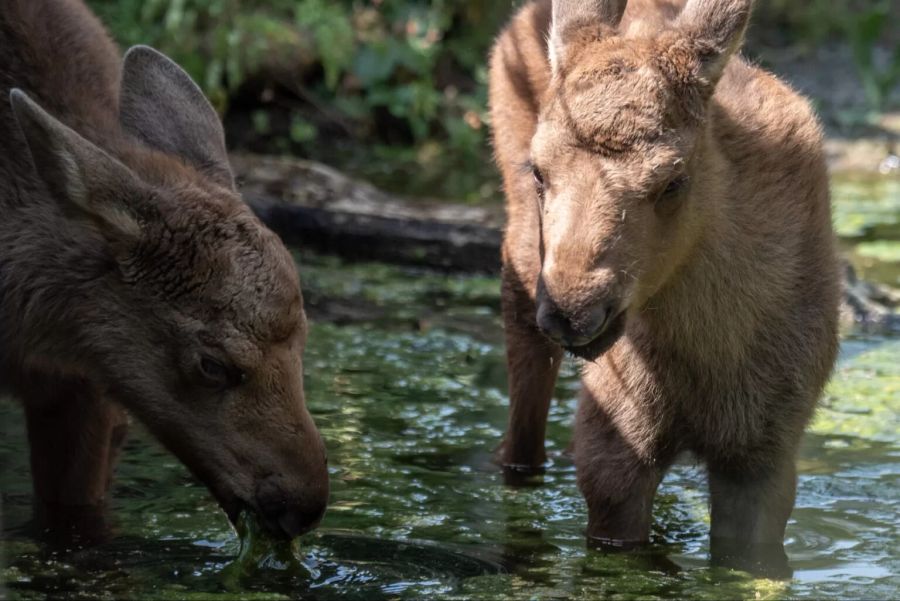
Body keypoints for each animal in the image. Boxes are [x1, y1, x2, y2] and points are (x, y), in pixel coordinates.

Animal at [488, 0, 840, 572]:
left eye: (672, 181)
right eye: (539, 171)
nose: (572, 310)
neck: (712, 352)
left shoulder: (766, 453)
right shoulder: (614, 447)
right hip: (520, 267)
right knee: (521, 428)